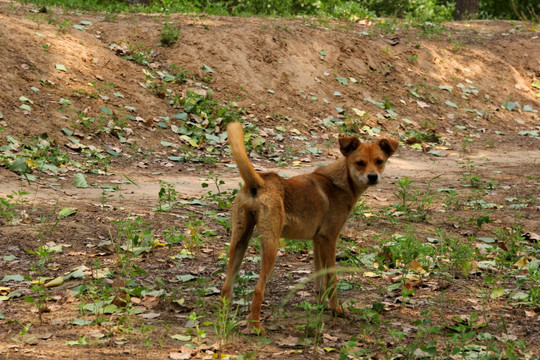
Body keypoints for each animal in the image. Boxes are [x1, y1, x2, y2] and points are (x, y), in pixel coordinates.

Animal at [221, 121, 398, 334]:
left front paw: (320, 307)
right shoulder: (329, 239)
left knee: (226, 286)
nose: (373, 177)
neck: (341, 182)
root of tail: (261, 181)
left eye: (379, 161)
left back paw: (223, 320)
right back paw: (255, 326)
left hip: (239, 241)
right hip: (271, 246)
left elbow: (318, 279)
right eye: (360, 162)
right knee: (257, 289)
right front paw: (336, 310)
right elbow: (331, 278)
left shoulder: (317, 241)